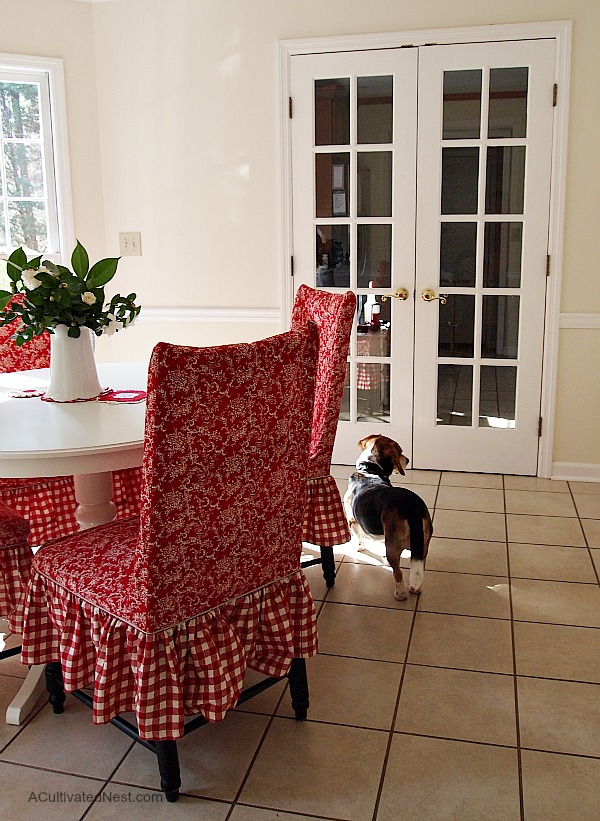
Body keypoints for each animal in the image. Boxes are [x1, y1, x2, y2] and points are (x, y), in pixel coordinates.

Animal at [344, 436, 434, 604]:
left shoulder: (352, 521)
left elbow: (359, 537)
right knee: (419, 570)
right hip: (423, 545)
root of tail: (411, 505)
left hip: (393, 547)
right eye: (400, 452)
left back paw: (400, 594)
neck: (369, 470)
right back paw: (416, 589)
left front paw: (360, 547)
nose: (408, 460)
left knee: (398, 573)